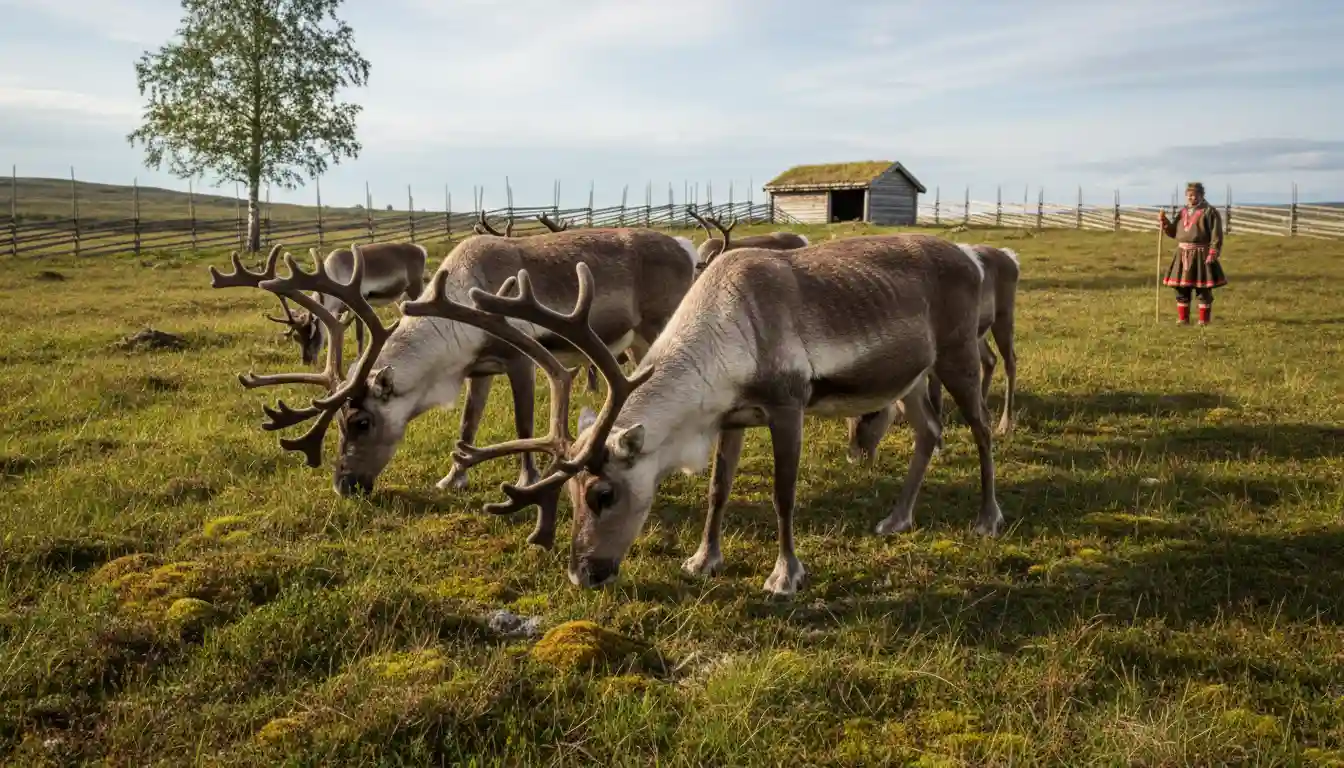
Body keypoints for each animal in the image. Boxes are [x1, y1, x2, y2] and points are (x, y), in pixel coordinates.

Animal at [263, 241, 428, 366]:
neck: (334, 273)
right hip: (401, 297)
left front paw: (359, 358)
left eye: (311, 333)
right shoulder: (341, 309)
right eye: (296, 337)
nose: (307, 362)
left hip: (415, 287)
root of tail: (420, 249)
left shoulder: (359, 299)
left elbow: (359, 334)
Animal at [845, 242, 1020, 465]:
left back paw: (1004, 425)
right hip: (973, 337)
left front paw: (937, 447)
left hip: (1004, 316)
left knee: (1010, 362)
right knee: (989, 359)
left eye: (873, 412)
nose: (854, 457)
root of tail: (1010, 256)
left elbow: (935, 400)